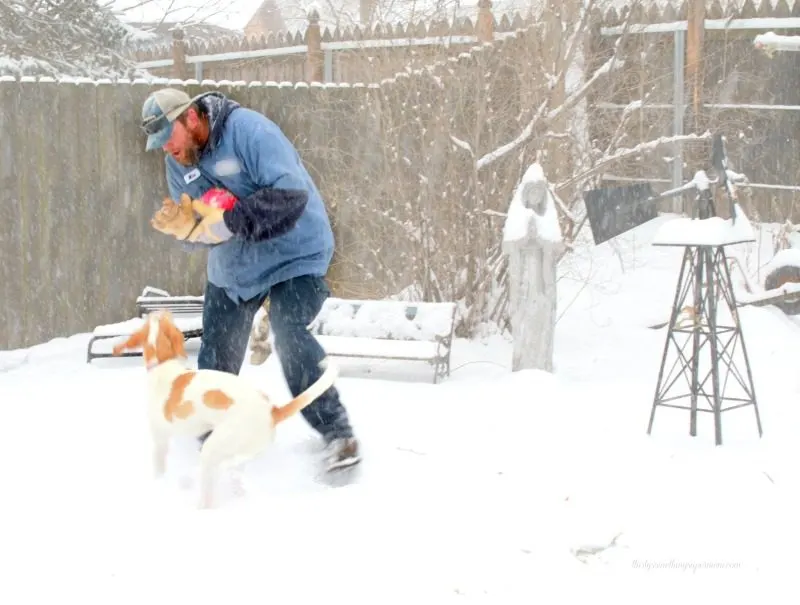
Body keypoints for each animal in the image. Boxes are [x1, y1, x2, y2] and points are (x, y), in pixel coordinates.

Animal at [112, 310, 338, 508]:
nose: (159, 311)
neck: (163, 362)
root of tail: (272, 411)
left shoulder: (160, 439)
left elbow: (158, 469)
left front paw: (157, 485)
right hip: (241, 451)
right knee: (235, 471)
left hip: (215, 448)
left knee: (210, 491)